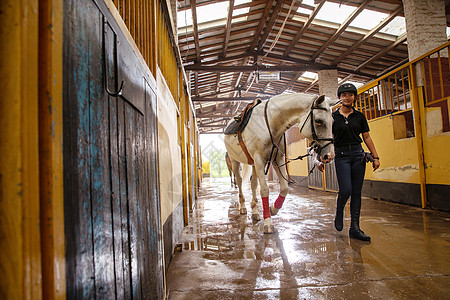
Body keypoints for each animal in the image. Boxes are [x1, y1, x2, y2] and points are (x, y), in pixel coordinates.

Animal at [225, 92, 338, 233]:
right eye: (318, 121)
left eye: (332, 121)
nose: (329, 156)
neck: (269, 123)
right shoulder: (260, 160)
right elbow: (264, 190)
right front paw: (268, 223)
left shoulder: (276, 159)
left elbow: (284, 188)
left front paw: (273, 209)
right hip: (235, 161)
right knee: (239, 182)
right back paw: (242, 207)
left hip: (253, 164)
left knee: (253, 184)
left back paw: (255, 212)